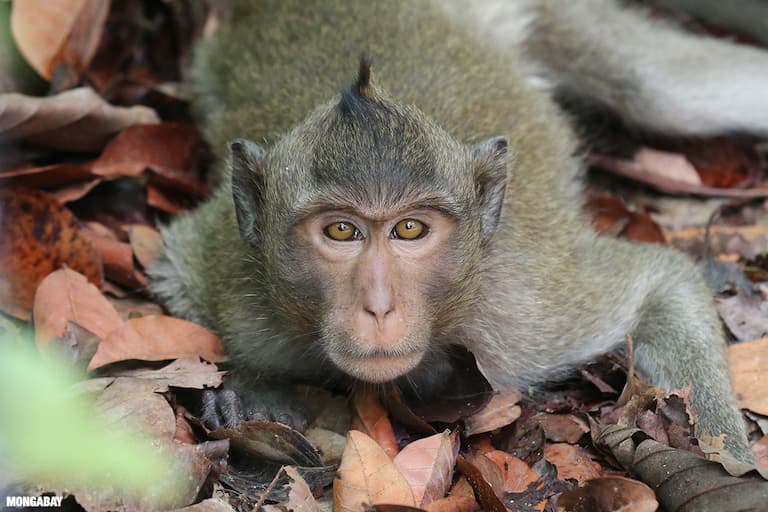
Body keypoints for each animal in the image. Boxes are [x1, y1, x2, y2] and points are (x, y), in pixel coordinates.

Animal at [149, 0, 768, 463]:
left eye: (410, 228)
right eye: (342, 230)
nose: (379, 307)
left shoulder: (524, 314)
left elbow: (664, 277)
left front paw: (731, 464)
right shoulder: (237, 284)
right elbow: (173, 264)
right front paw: (255, 394)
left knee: (656, 86)